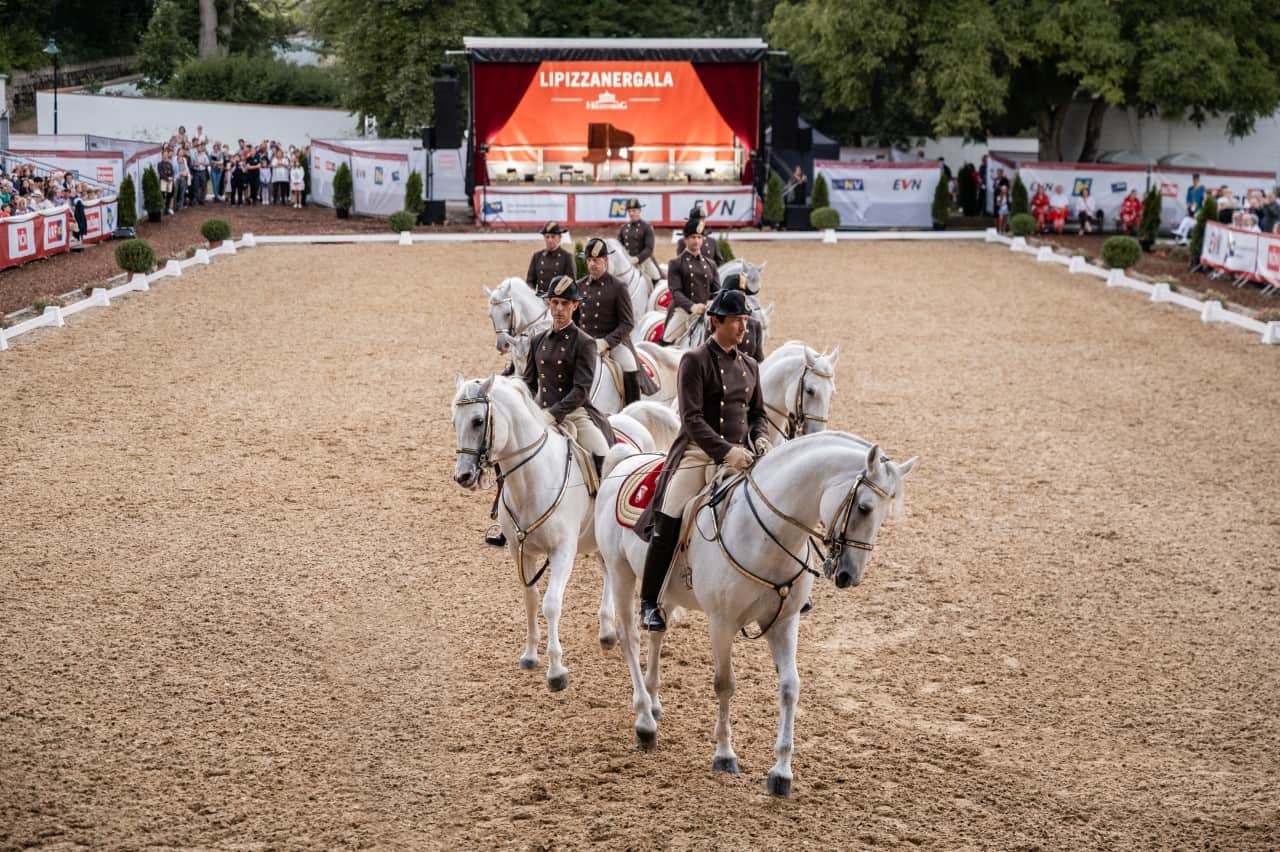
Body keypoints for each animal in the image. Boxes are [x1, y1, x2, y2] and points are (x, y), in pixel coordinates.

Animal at [593, 432, 916, 798]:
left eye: (884, 515)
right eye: (864, 508)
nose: (850, 576)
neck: (767, 535)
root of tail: (625, 460)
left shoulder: (785, 623)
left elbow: (790, 686)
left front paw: (781, 772)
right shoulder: (721, 623)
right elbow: (724, 684)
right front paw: (724, 754)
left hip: (666, 593)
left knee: (656, 632)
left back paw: (654, 700)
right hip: (620, 572)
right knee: (630, 639)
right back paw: (645, 721)